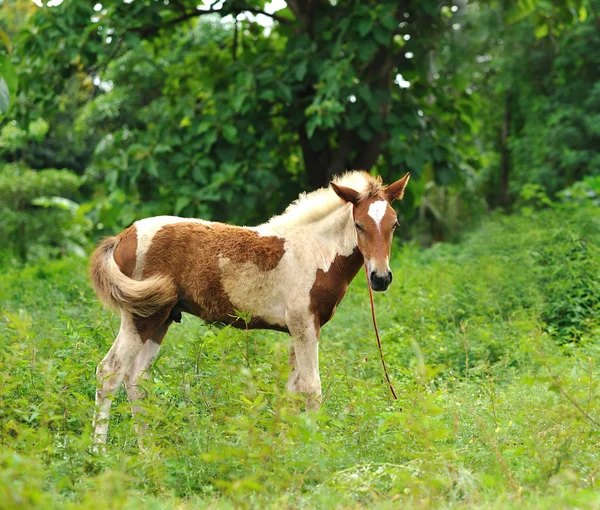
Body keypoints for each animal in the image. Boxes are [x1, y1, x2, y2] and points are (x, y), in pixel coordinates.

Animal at [90, 170, 408, 446]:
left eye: (394, 224)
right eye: (359, 225)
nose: (380, 278)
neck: (316, 251)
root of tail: (123, 237)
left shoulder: (296, 330)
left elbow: (291, 391)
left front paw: (286, 447)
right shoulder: (305, 325)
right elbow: (311, 388)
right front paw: (312, 450)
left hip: (162, 319)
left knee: (137, 379)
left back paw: (148, 452)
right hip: (140, 317)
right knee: (110, 371)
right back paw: (99, 453)